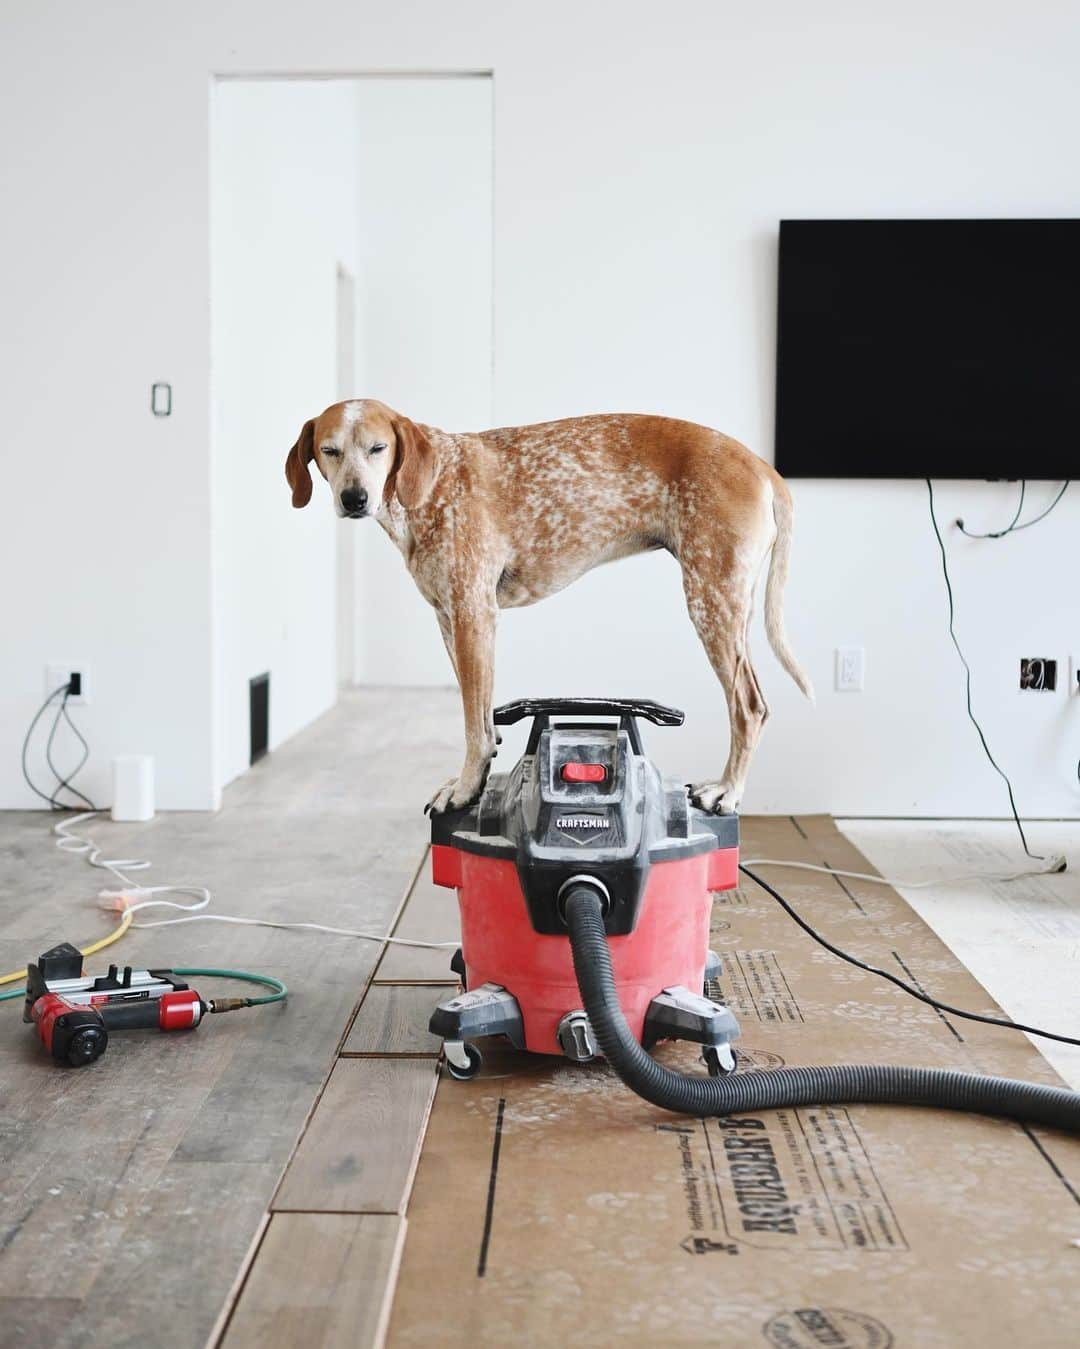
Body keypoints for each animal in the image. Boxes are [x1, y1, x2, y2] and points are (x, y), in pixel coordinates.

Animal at [285, 402, 808, 809]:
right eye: (329, 450)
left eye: (378, 448)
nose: (354, 498)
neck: (430, 488)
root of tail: (761, 466)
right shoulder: (451, 619)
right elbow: (480, 710)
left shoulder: (474, 615)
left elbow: (473, 726)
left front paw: (466, 786)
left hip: (711, 602)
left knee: (750, 707)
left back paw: (728, 790)